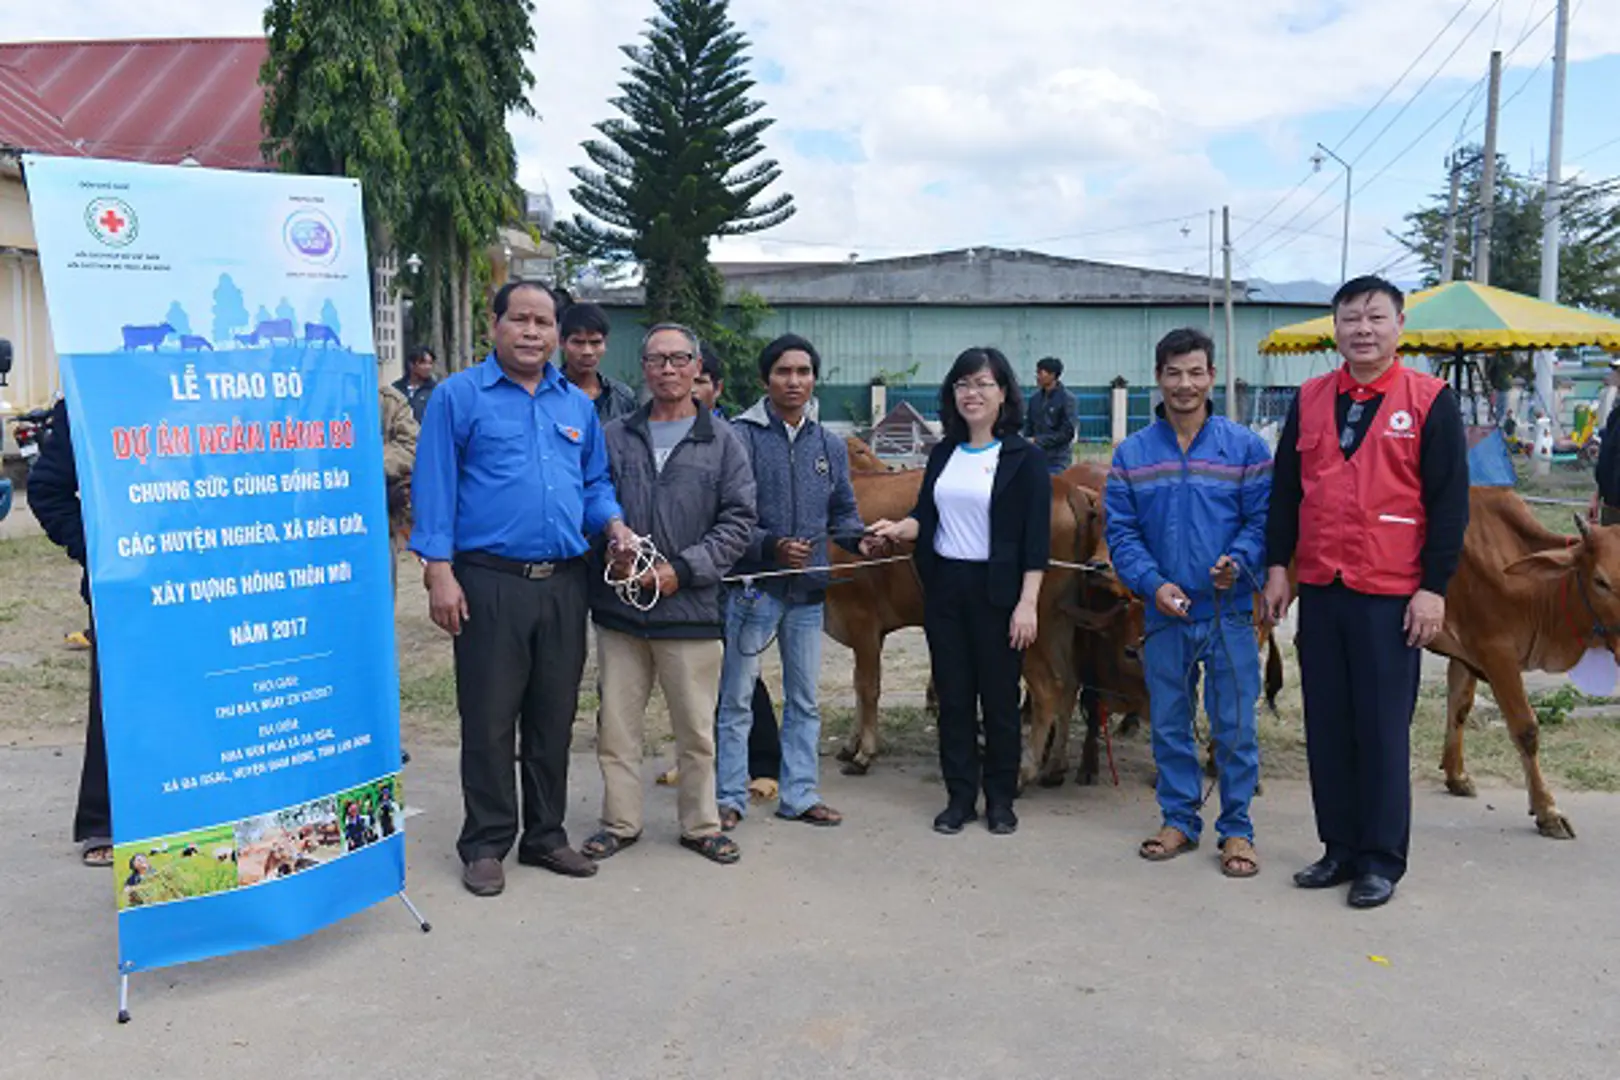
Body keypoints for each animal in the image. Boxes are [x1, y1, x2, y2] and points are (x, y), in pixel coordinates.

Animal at [1432, 485, 1620, 841]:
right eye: (1601, 581)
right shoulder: (1496, 653)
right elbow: (1526, 729)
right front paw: (1547, 811)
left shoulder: (1466, 653)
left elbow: (1459, 706)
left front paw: (1456, 776)